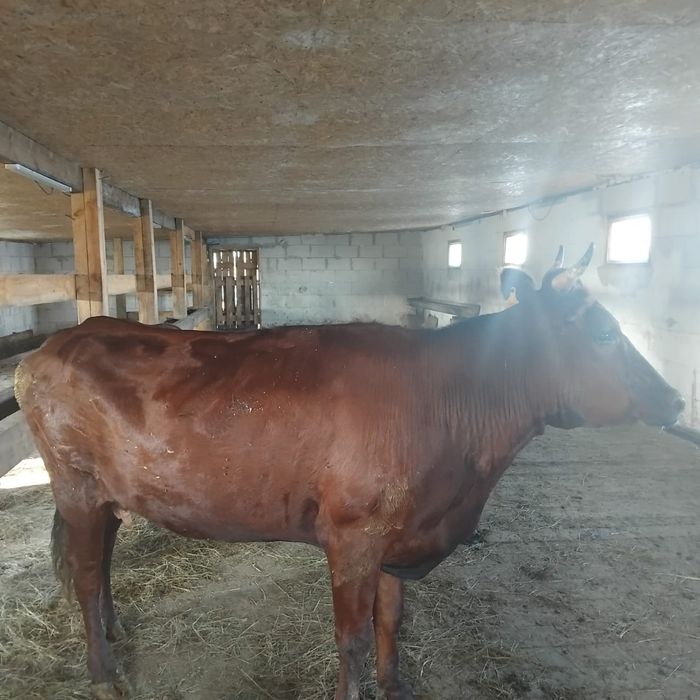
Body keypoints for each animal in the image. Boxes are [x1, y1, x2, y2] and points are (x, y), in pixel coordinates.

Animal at [15, 245, 684, 700]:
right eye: (604, 333)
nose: (676, 400)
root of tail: (59, 342)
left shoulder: (396, 533)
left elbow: (390, 620)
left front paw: (396, 687)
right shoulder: (353, 537)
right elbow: (352, 636)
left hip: (109, 493)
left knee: (101, 563)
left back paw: (116, 630)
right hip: (75, 485)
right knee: (84, 575)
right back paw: (103, 674)